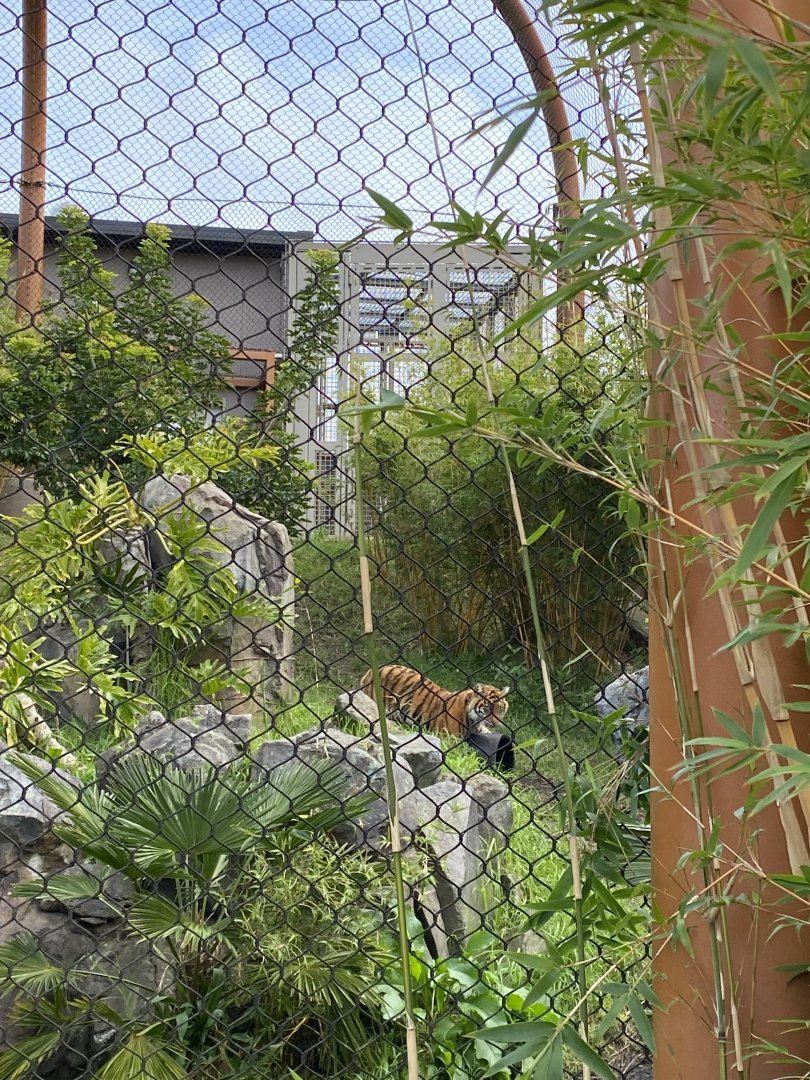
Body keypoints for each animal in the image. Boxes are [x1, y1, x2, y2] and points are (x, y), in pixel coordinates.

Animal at [359, 664, 510, 737]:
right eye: (487, 708)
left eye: (500, 709)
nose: (496, 723)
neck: (475, 721)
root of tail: (371, 671)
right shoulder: (450, 738)